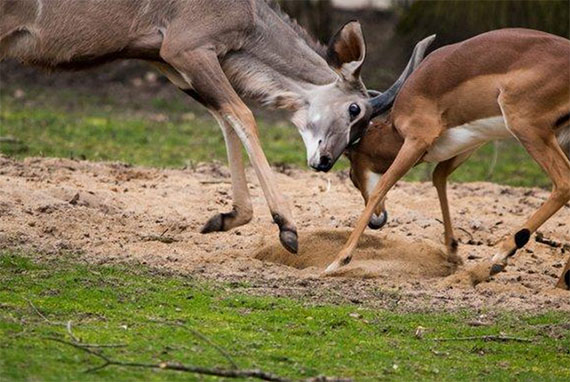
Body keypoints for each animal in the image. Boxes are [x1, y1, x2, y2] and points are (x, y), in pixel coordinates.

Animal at [0, 0, 426, 254]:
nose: (323, 161)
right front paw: (287, 227)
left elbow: (225, 117)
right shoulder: (187, 49)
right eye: (355, 110)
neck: (248, 16)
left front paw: (229, 217)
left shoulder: (169, 61)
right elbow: (243, 114)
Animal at [322, 27, 564, 290]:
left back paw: (501, 256)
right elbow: (438, 176)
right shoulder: (469, 143)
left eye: (351, 176)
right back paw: (560, 282)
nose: (378, 221)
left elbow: (382, 186)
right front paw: (453, 253)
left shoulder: (416, 141)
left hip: (528, 129)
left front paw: (338, 261)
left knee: (564, 184)